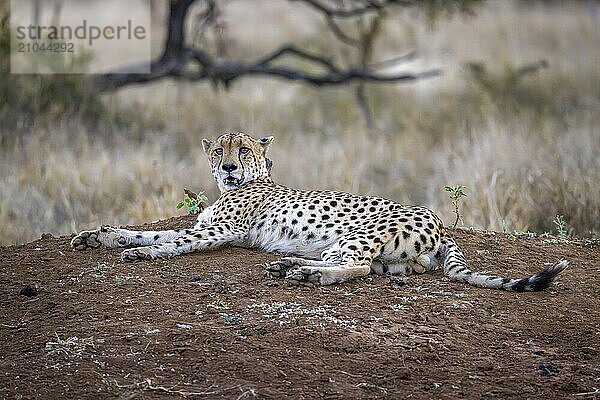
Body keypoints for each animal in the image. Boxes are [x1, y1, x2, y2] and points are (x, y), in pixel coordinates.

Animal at [71, 132, 568, 290]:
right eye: (219, 151)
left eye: (243, 149)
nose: (229, 167)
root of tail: (438, 220)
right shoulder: (209, 226)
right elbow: (153, 232)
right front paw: (102, 236)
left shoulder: (220, 233)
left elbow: (174, 242)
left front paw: (139, 254)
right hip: (387, 258)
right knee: (360, 266)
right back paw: (288, 264)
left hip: (361, 235)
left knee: (356, 267)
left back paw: (305, 273)